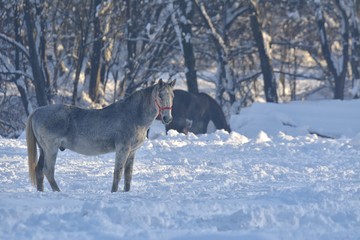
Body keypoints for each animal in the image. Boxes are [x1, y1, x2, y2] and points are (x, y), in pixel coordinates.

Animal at [26, 79, 176, 192]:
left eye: (172, 96)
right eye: (160, 95)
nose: (167, 118)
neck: (133, 115)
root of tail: (38, 111)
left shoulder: (132, 151)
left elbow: (128, 175)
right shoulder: (123, 149)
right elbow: (118, 173)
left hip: (43, 149)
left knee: (39, 171)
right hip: (51, 149)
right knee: (48, 171)